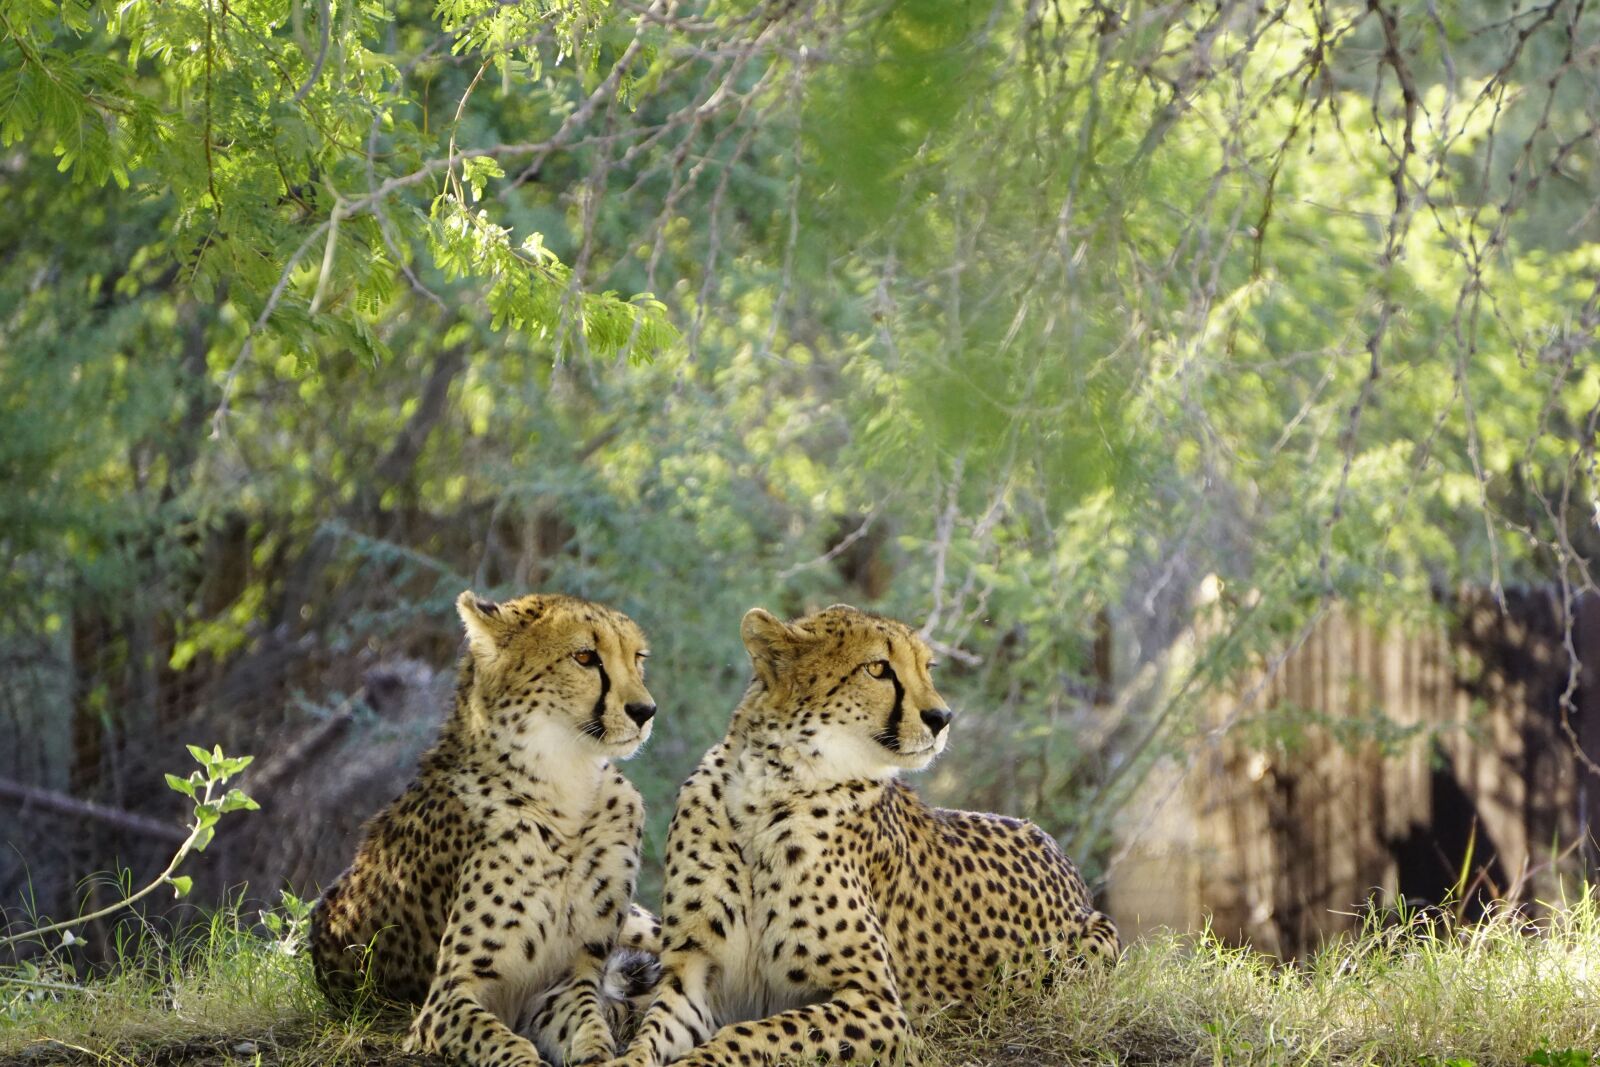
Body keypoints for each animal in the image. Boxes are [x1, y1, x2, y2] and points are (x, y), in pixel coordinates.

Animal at [310, 590, 665, 1067]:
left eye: (637, 657)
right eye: (585, 657)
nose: (645, 711)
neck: (565, 788)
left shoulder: (568, 980)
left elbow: (591, 1032)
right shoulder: (445, 1000)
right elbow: (509, 1045)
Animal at [607, 604, 1118, 1067]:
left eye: (927, 668)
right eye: (877, 669)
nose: (942, 717)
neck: (766, 788)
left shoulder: (878, 1005)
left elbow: (749, 1035)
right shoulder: (693, 974)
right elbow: (652, 1034)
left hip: (1090, 944)